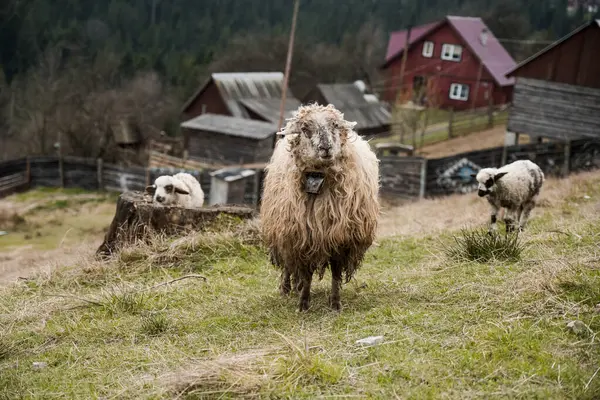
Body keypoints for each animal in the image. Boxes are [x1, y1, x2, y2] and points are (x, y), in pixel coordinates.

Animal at [258, 103, 380, 312]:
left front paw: (335, 304)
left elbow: (336, 274)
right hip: (284, 231)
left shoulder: (341, 236)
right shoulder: (303, 235)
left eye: (335, 125)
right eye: (305, 128)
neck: (318, 177)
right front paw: (303, 304)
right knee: (288, 265)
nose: (326, 147)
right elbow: (306, 274)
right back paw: (286, 288)